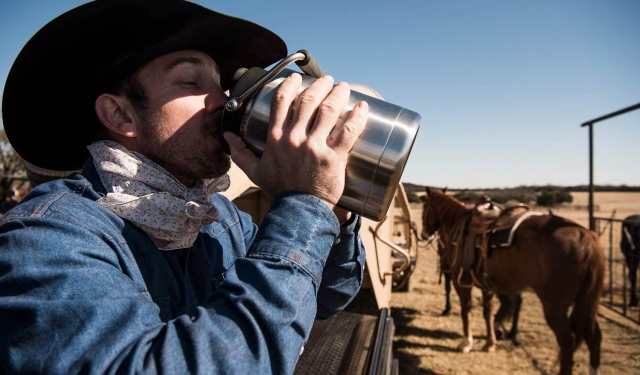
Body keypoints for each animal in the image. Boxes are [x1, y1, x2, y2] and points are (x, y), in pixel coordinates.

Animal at [422, 188, 604, 375]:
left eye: (424, 207)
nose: (424, 234)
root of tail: (587, 239)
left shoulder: (461, 282)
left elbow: (467, 310)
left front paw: (466, 343)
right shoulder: (486, 285)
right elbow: (488, 312)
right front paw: (490, 343)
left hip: (555, 307)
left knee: (567, 341)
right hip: (586, 302)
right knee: (594, 337)